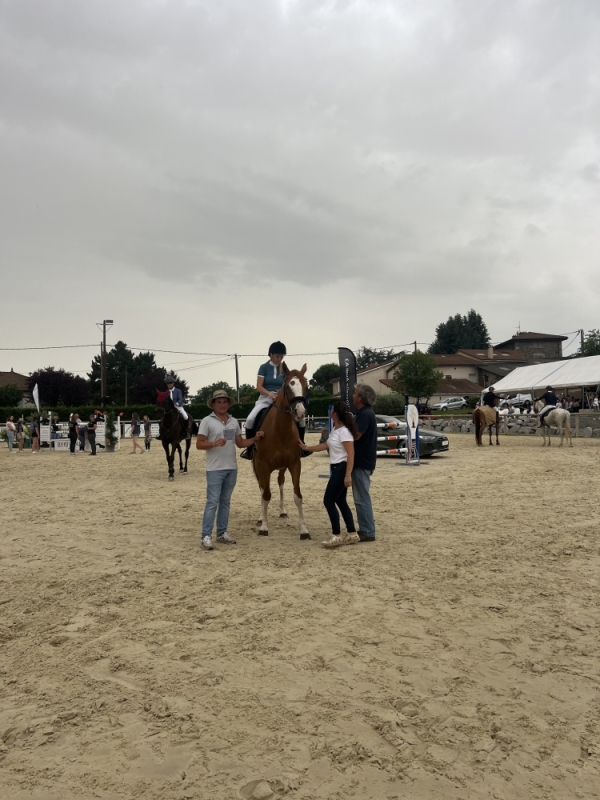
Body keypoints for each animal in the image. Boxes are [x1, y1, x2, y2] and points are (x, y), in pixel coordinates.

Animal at [252, 364, 310, 540]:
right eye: (288, 386)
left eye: (306, 385)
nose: (300, 412)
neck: (280, 429)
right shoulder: (263, 465)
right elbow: (266, 495)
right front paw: (264, 527)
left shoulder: (294, 464)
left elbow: (298, 496)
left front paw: (304, 530)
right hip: (257, 466)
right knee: (262, 489)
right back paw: (260, 518)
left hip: (282, 468)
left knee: (280, 482)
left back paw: (282, 511)